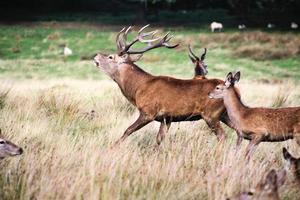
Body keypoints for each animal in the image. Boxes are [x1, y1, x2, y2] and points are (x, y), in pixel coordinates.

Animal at [94, 25, 234, 147]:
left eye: (110, 56)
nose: (96, 56)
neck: (138, 88)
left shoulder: (148, 111)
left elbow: (128, 130)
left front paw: (112, 147)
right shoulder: (166, 118)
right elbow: (159, 139)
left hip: (211, 114)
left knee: (223, 136)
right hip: (225, 115)